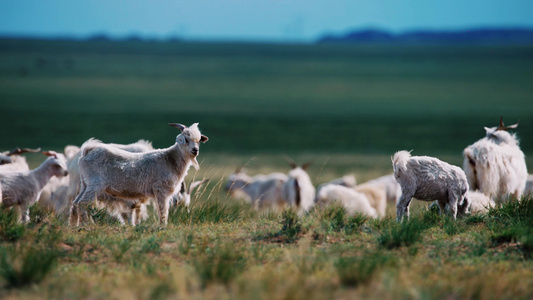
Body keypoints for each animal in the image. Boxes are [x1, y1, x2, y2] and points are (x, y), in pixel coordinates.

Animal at [72, 122, 208, 225]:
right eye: (186, 140)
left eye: (198, 141)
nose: (195, 150)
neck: (170, 159)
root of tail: (87, 151)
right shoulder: (161, 190)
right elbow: (163, 211)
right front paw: (163, 227)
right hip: (95, 185)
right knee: (83, 203)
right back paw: (85, 226)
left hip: (85, 184)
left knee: (75, 203)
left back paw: (74, 226)